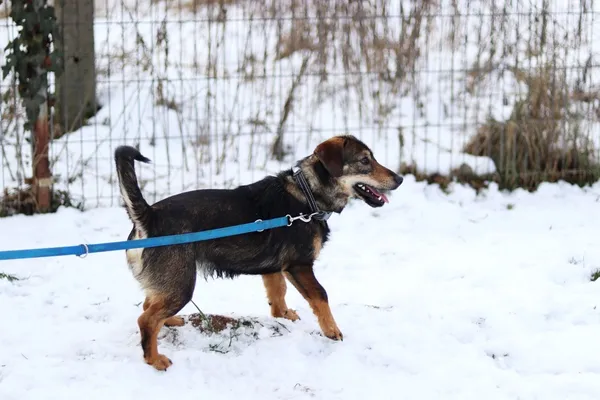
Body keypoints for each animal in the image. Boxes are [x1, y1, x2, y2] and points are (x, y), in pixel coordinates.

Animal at [113, 135, 404, 372]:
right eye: (365, 161)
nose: (400, 179)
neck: (308, 195)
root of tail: (148, 216)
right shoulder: (300, 265)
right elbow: (321, 296)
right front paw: (332, 330)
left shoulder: (275, 268)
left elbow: (278, 293)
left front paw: (283, 315)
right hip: (182, 284)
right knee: (145, 318)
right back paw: (155, 359)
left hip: (170, 283)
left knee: (150, 305)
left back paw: (168, 322)